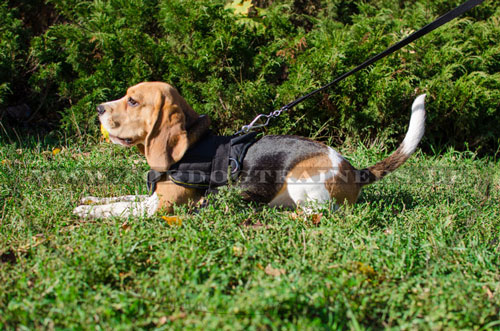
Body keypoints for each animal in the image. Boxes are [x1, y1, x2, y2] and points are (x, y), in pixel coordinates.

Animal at [74, 81, 426, 219]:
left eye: (133, 101)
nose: (99, 108)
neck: (192, 144)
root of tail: (352, 169)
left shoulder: (161, 207)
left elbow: (122, 208)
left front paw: (87, 212)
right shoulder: (152, 198)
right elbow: (123, 198)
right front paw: (91, 200)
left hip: (301, 179)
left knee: (319, 214)